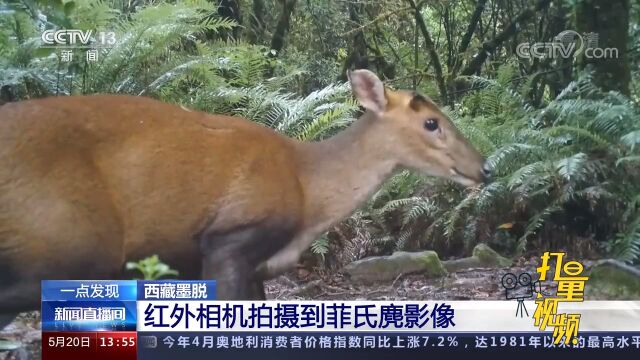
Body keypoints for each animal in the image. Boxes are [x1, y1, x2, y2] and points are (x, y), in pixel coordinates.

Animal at [0, 69, 490, 330]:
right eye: (431, 123)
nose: (486, 169)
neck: (306, 188)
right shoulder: (229, 238)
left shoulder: (253, 266)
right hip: (71, 238)